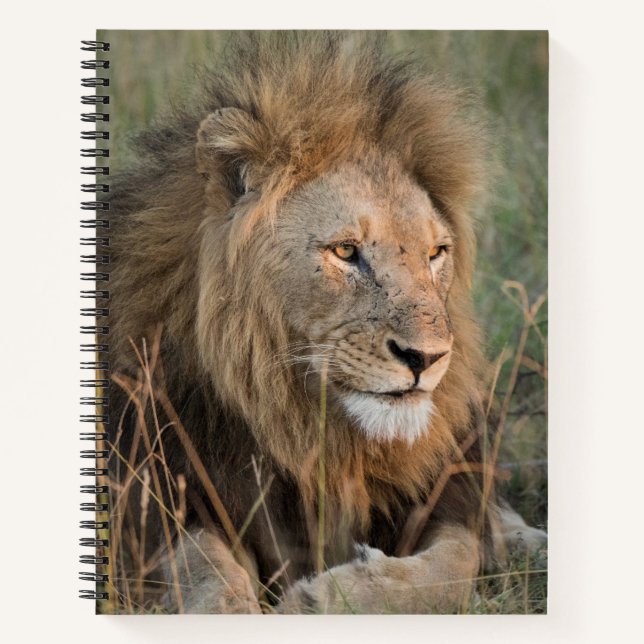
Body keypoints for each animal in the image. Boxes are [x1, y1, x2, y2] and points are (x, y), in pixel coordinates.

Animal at [107, 32, 546, 614]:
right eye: (345, 251)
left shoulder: (443, 492)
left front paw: (324, 596)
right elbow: (205, 569)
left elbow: (454, 566)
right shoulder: (156, 494)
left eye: (436, 253)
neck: (313, 429)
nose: (426, 358)